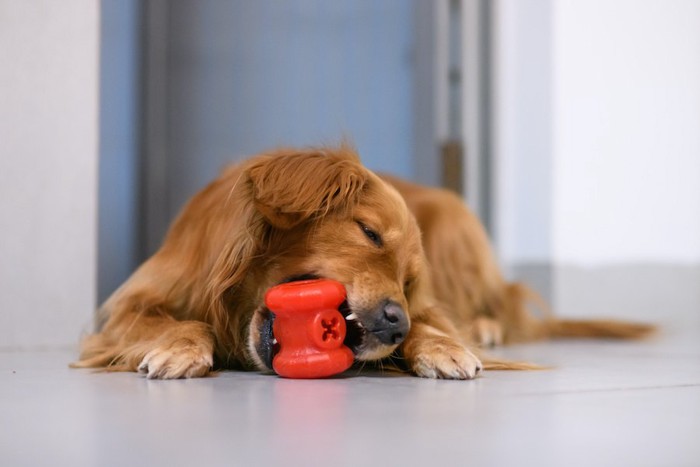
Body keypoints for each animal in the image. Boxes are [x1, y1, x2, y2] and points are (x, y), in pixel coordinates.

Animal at [71, 145, 652, 380]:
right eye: (369, 233)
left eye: (409, 282)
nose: (396, 322)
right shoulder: (129, 304)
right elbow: (175, 321)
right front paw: (179, 345)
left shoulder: (429, 304)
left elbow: (438, 324)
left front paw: (441, 346)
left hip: (455, 216)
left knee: (500, 305)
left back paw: (485, 326)